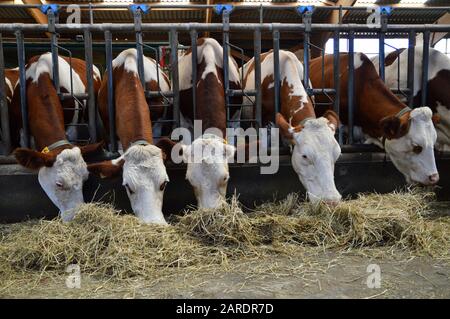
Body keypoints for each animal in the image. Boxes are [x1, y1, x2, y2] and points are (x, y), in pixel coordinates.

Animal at [8, 53, 103, 222]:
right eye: (59, 184)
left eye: (85, 179)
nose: (75, 216)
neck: (39, 76)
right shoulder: (21, 132)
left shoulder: (72, 128)